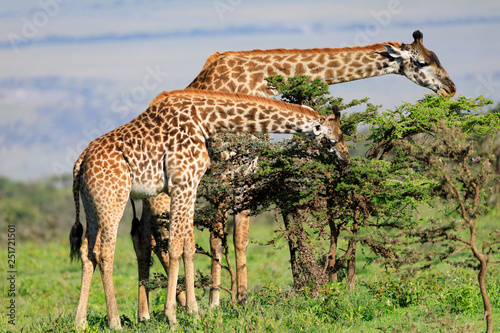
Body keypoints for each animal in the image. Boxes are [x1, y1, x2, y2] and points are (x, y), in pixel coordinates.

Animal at [70, 87, 350, 328]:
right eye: (333, 139)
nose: (346, 159)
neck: (205, 119)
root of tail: (79, 163)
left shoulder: (191, 186)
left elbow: (188, 246)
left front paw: (194, 312)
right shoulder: (182, 184)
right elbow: (174, 247)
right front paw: (172, 316)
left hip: (92, 204)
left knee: (87, 251)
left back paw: (80, 322)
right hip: (113, 200)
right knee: (106, 252)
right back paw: (114, 321)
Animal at [132, 29, 458, 312]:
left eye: (437, 57)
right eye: (423, 62)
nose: (451, 88)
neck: (261, 77)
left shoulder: (249, 163)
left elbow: (240, 236)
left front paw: (241, 299)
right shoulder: (225, 164)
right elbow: (216, 235)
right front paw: (214, 302)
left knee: (144, 237)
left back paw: (148, 312)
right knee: (161, 239)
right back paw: (174, 306)